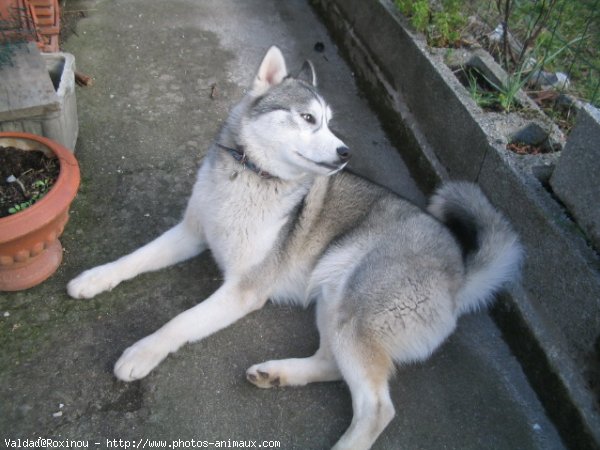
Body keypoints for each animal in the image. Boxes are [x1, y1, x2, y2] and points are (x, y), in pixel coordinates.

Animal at [68, 46, 524, 450]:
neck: (252, 175)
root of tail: (459, 273)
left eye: (330, 123)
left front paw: (142, 351)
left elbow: (180, 321)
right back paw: (277, 374)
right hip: (334, 299)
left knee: (377, 407)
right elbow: (135, 258)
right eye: (308, 118)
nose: (345, 152)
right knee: (331, 364)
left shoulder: (243, 291)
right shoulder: (192, 232)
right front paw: (93, 278)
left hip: (356, 309)